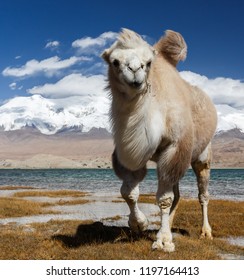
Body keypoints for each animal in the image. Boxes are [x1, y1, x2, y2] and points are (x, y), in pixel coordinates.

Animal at [101, 28, 217, 252]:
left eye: (148, 63)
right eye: (115, 62)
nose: (135, 71)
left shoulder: (174, 148)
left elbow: (164, 198)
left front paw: (163, 240)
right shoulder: (129, 152)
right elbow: (128, 192)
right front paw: (139, 224)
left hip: (202, 154)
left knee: (203, 194)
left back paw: (205, 232)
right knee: (178, 193)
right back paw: (169, 224)